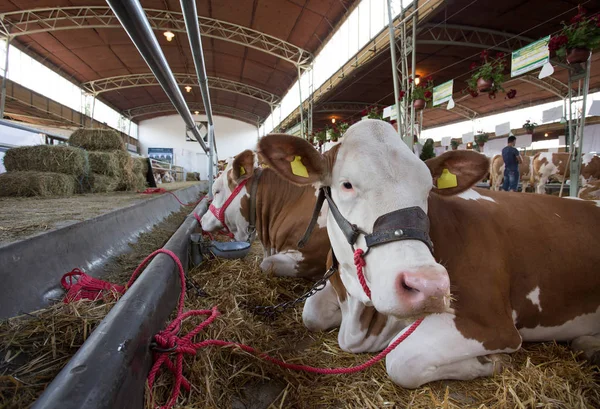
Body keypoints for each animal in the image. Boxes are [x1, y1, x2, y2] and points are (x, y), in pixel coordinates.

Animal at [258, 119, 600, 388]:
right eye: (347, 184)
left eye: (428, 189)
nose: (431, 286)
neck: (362, 319)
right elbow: (311, 312)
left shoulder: (494, 324)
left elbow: (402, 360)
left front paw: (491, 362)